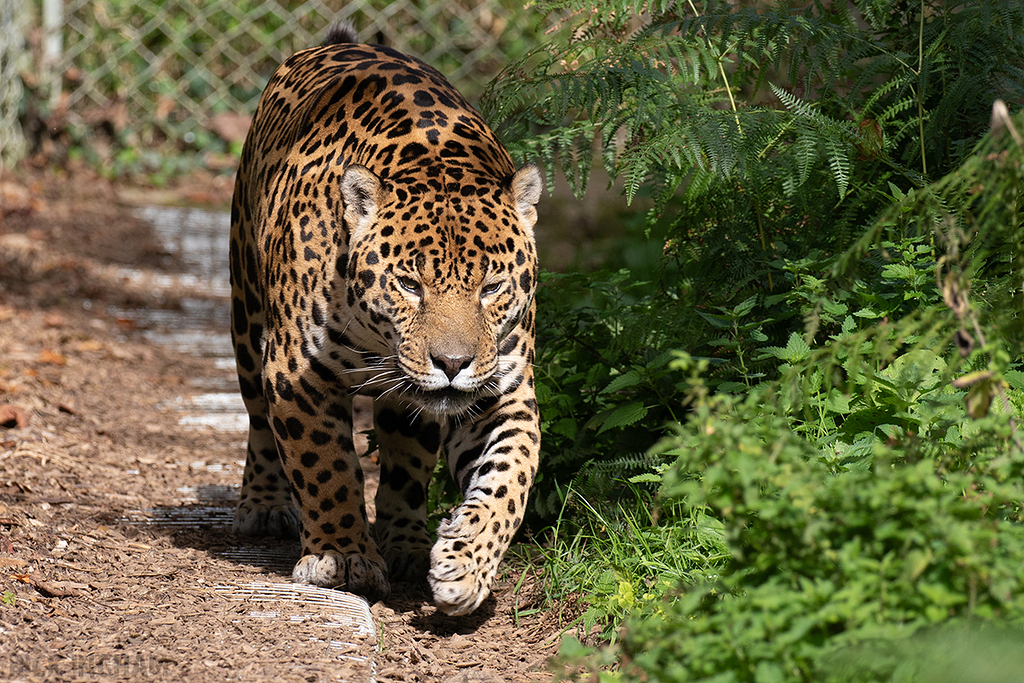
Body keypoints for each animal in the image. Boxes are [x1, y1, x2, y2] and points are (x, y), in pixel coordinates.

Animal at [228, 23, 542, 617]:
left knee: (405, 461)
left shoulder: (501, 390)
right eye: (409, 285)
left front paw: (465, 565)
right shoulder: (296, 371)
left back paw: (407, 542)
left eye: (491, 287)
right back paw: (264, 503)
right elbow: (324, 465)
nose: (452, 364)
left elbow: (509, 478)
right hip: (246, 310)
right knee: (257, 417)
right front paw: (341, 556)